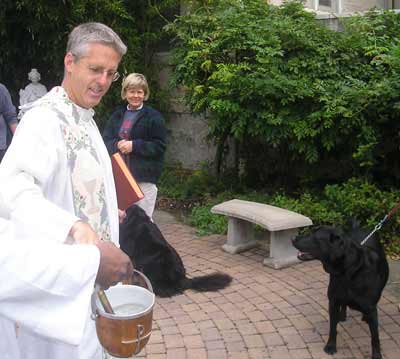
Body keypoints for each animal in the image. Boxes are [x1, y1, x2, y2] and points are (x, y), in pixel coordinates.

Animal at [290, 225, 388, 359]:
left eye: (315, 237)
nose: (292, 238)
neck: (348, 271)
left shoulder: (371, 308)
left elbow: (375, 337)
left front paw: (377, 355)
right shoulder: (333, 302)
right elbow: (333, 328)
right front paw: (331, 346)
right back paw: (342, 316)